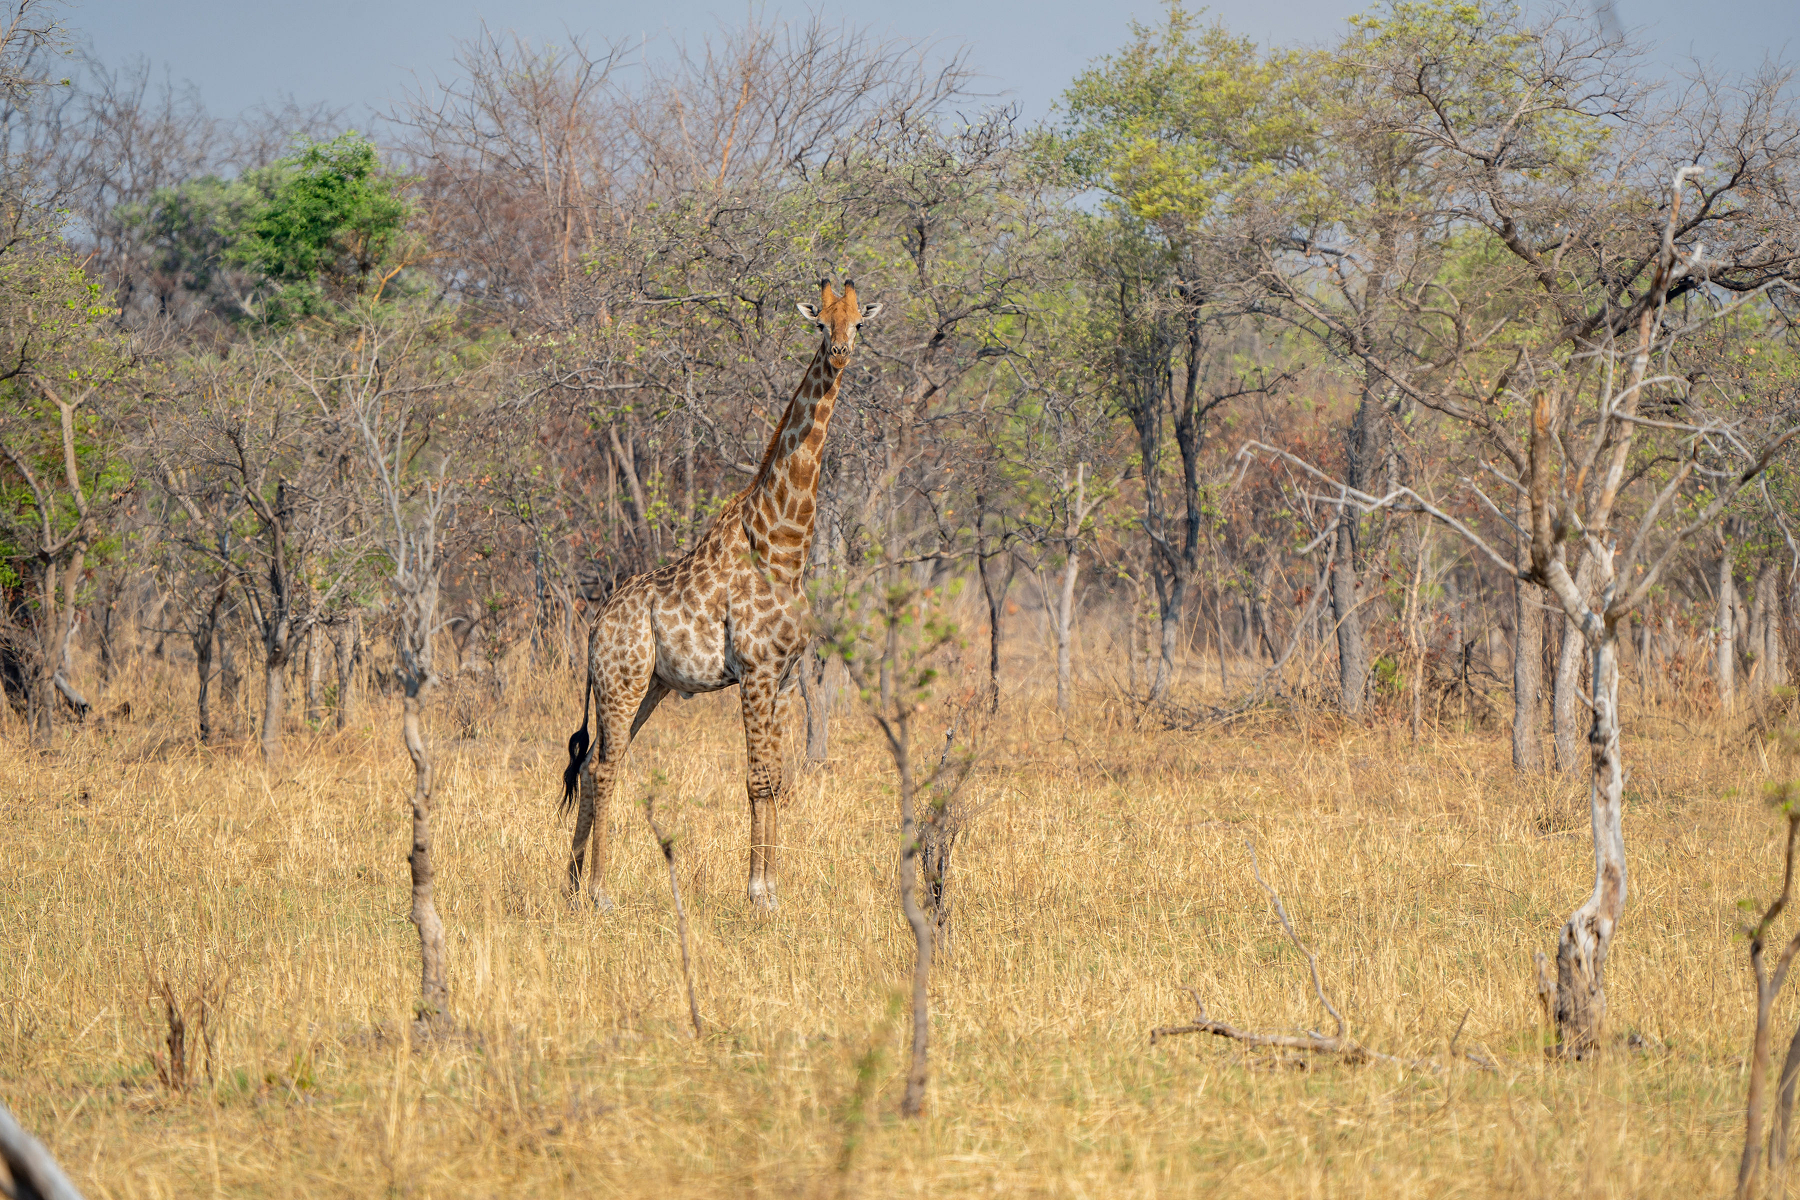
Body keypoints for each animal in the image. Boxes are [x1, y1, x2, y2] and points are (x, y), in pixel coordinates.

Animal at [561, 278, 881, 912]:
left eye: (859, 322)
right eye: (819, 322)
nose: (839, 355)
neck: (784, 545)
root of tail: (595, 626)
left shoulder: (783, 677)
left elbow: (777, 779)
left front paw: (773, 889)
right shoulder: (755, 672)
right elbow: (756, 779)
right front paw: (756, 893)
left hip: (648, 688)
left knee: (593, 767)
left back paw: (572, 884)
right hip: (621, 682)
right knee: (604, 770)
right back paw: (602, 894)